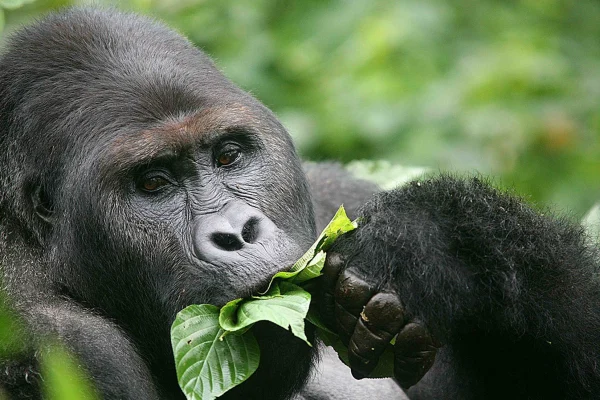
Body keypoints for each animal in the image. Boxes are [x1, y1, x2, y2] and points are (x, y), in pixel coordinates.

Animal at [0, 7, 596, 400]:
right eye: (153, 184)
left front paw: (435, 240)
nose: (238, 232)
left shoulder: (336, 195)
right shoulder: (54, 337)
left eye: (228, 155)